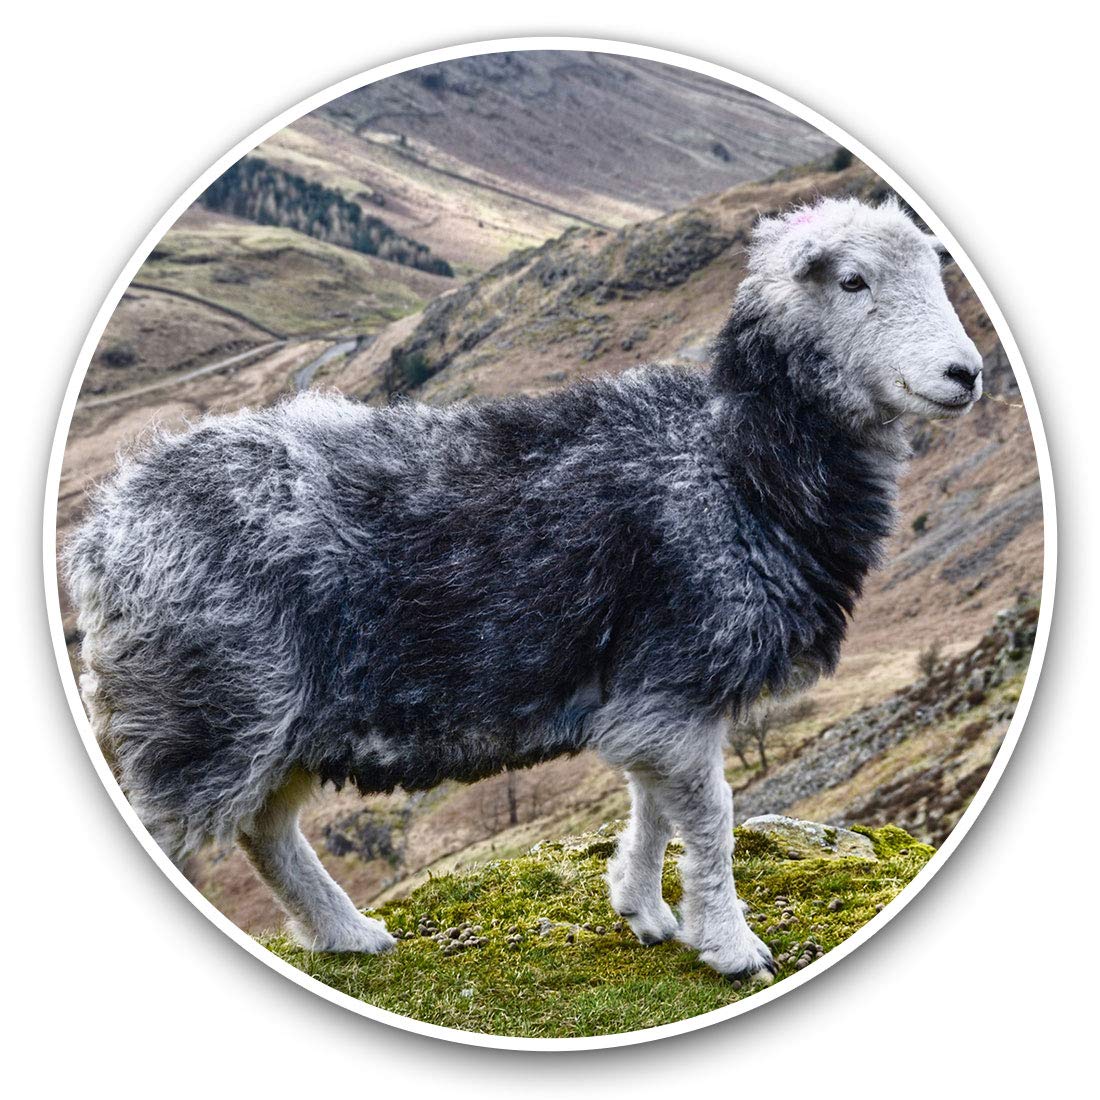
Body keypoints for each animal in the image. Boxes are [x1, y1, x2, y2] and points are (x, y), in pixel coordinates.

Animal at [65, 197, 982, 982]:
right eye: (852, 281)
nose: (965, 373)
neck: (735, 458)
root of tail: (107, 527)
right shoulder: (679, 670)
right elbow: (711, 820)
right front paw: (730, 945)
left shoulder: (655, 692)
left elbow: (655, 805)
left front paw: (643, 908)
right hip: (207, 709)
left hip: (271, 720)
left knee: (267, 830)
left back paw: (348, 933)